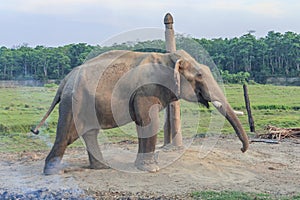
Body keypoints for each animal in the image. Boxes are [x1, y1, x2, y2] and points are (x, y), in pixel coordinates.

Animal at [31, 50, 250, 175]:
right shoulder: (147, 90)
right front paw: (152, 169)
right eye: (200, 75)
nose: (241, 150)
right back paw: (53, 172)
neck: (168, 58)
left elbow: (142, 123)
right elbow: (149, 122)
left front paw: (143, 166)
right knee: (67, 135)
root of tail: (65, 80)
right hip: (75, 102)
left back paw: (102, 168)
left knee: (89, 133)